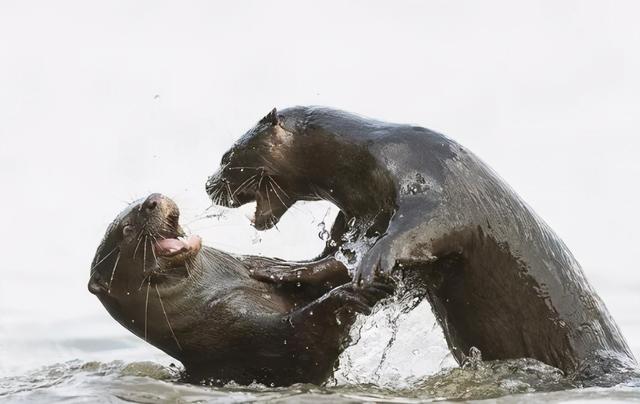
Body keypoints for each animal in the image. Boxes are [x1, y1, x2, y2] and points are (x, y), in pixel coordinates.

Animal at [87, 193, 392, 386]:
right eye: (127, 229)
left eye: (138, 202)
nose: (152, 200)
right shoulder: (263, 343)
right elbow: (308, 332)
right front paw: (349, 295)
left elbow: (323, 264)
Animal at [208, 105, 636, 384]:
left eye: (228, 155)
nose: (209, 184)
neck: (370, 160)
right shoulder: (357, 216)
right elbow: (329, 261)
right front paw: (273, 265)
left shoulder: (434, 182)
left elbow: (421, 228)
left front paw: (375, 262)